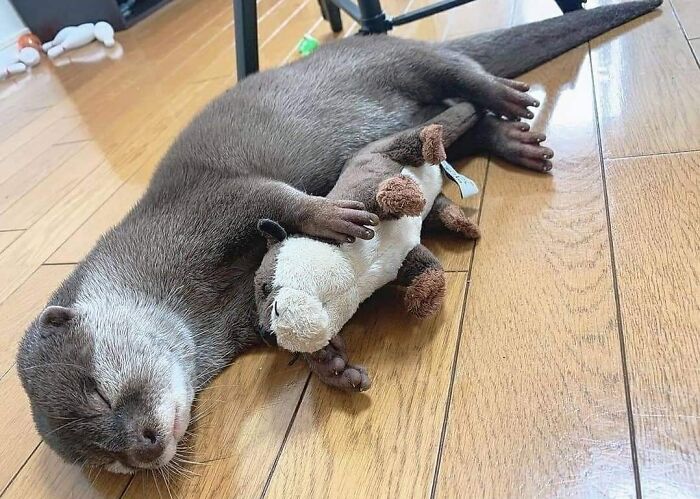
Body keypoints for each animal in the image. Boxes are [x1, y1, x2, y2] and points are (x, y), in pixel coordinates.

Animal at [17, 1, 661, 474]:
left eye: (101, 393)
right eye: (107, 459)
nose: (145, 447)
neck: (190, 301)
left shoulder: (204, 204)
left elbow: (269, 197)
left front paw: (333, 217)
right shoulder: (239, 311)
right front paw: (330, 364)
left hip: (393, 58)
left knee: (457, 74)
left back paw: (503, 95)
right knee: (462, 120)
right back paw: (513, 141)